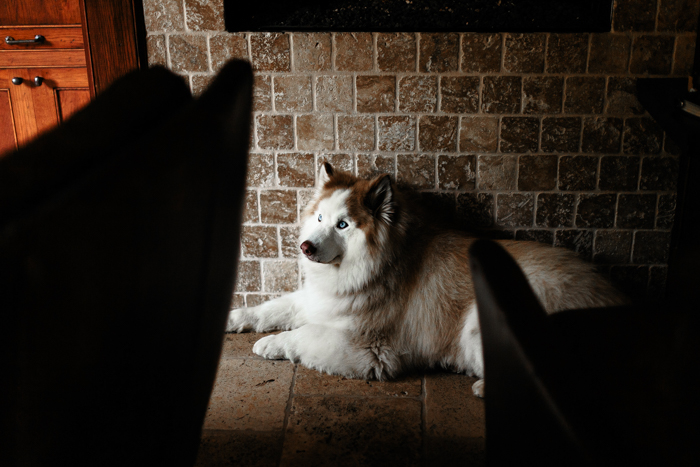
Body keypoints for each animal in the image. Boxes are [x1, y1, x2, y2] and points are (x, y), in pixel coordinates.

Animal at [227, 163, 628, 396]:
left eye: (343, 225)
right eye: (321, 217)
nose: (306, 247)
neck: (379, 263)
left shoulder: (370, 352)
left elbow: (304, 334)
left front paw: (272, 344)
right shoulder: (317, 300)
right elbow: (271, 308)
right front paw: (235, 318)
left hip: (478, 322)